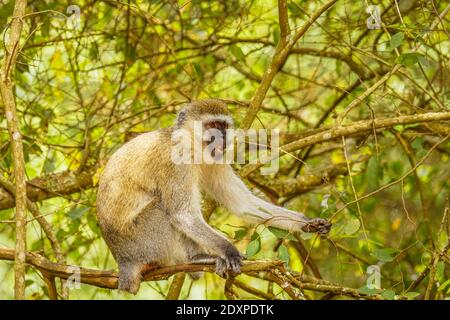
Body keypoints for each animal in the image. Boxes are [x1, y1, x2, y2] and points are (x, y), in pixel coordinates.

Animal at [96, 99, 330, 294]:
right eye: (212, 126)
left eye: (223, 127)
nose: (222, 139)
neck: (189, 144)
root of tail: (123, 260)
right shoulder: (176, 161)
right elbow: (183, 215)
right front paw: (229, 251)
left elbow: (242, 203)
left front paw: (308, 223)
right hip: (144, 242)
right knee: (165, 210)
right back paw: (197, 258)